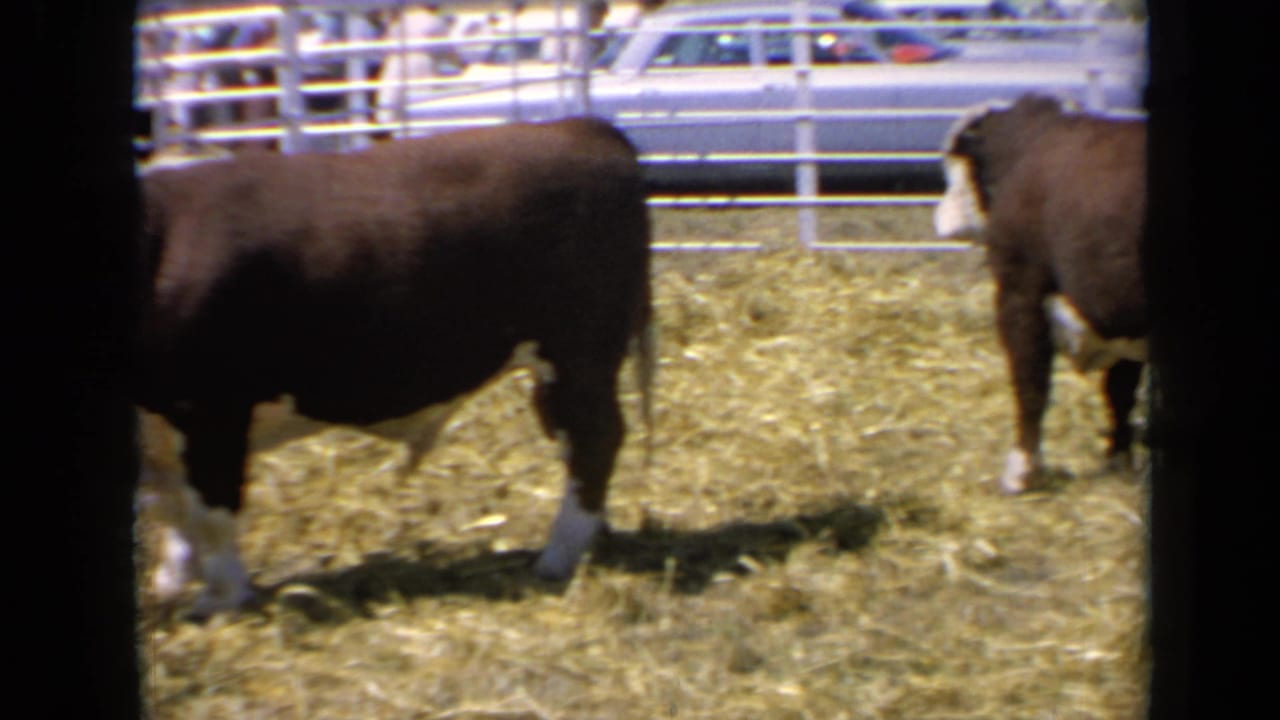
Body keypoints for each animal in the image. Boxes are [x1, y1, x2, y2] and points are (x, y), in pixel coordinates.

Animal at [134, 116, 655, 616]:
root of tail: (581, 126)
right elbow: (173, 511)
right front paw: (171, 585)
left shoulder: (210, 409)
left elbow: (210, 512)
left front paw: (218, 600)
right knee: (574, 442)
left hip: (578, 352)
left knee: (595, 439)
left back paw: (557, 558)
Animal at [933, 94, 1147, 494]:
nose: (942, 217)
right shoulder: (1121, 315)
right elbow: (1120, 391)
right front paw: (1117, 461)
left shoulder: (1021, 291)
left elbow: (1030, 384)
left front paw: (1021, 471)